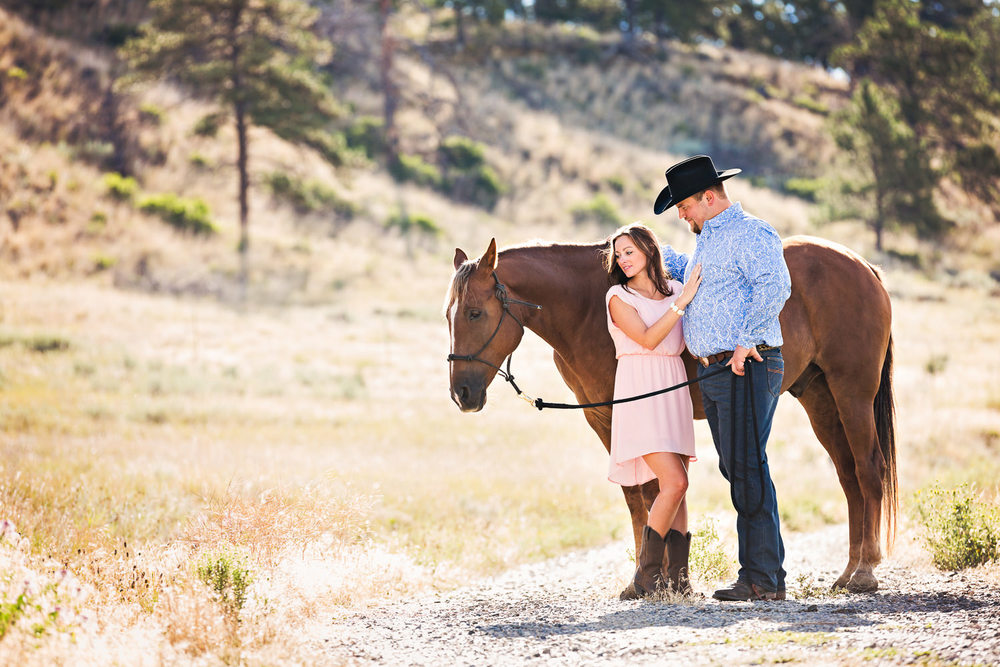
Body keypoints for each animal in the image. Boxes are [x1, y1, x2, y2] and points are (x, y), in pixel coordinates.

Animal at [446, 236, 900, 596]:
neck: (589, 309)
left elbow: (650, 493)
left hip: (852, 393)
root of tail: (864, 266)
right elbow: (637, 498)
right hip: (820, 399)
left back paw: (865, 571)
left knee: (868, 469)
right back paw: (847, 572)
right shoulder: (605, 421)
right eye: (449, 315)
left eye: (474, 313)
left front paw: (652, 580)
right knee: (849, 477)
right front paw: (658, 579)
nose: (461, 394)